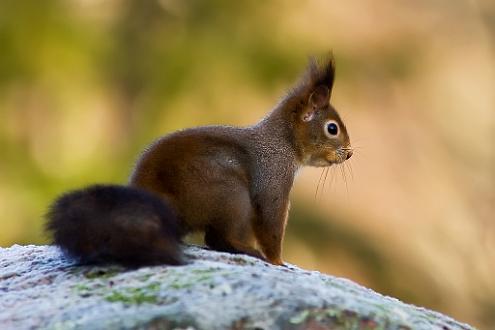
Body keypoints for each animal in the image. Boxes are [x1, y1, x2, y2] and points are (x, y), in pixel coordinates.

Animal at [43, 53, 352, 266]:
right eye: (332, 128)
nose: (350, 153)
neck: (283, 143)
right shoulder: (273, 178)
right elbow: (271, 222)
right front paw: (278, 262)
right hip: (230, 195)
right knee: (218, 238)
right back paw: (247, 250)